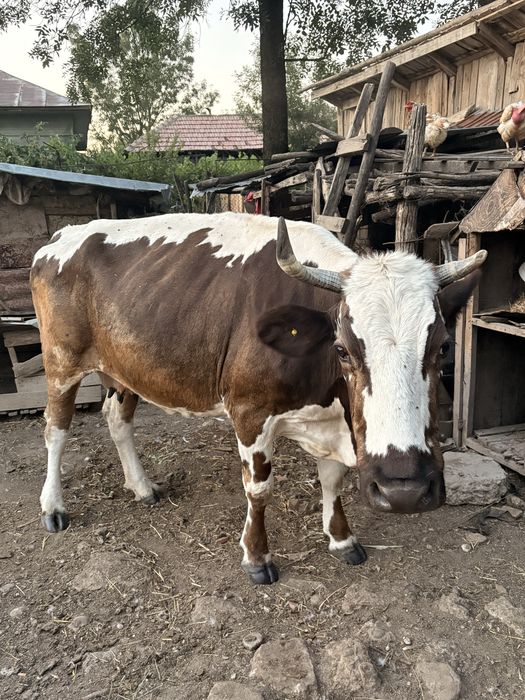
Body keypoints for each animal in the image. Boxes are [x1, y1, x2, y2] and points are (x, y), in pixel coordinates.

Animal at [30, 212, 486, 585]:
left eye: (444, 347)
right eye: (342, 349)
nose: (403, 490)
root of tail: (62, 235)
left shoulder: (333, 421)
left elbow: (332, 479)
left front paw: (342, 539)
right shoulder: (249, 412)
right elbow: (258, 489)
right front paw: (256, 557)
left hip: (126, 366)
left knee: (116, 418)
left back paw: (141, 487)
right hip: (61, 361)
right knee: (56, 430)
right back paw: (53, 507)